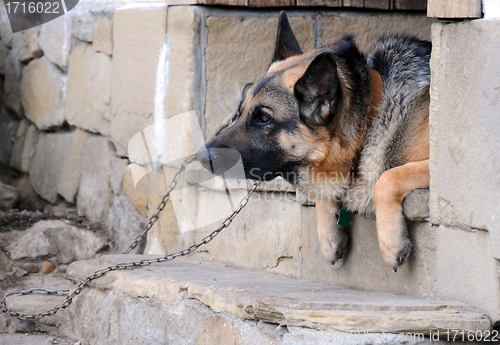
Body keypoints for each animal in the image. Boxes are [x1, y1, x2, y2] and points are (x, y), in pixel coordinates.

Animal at [197, 11, 432, 272]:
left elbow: (387, 178)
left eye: (264, 118)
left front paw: (391, 244)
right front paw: (329, 236)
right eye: (240, 113)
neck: (371, 113)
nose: (200, 157)